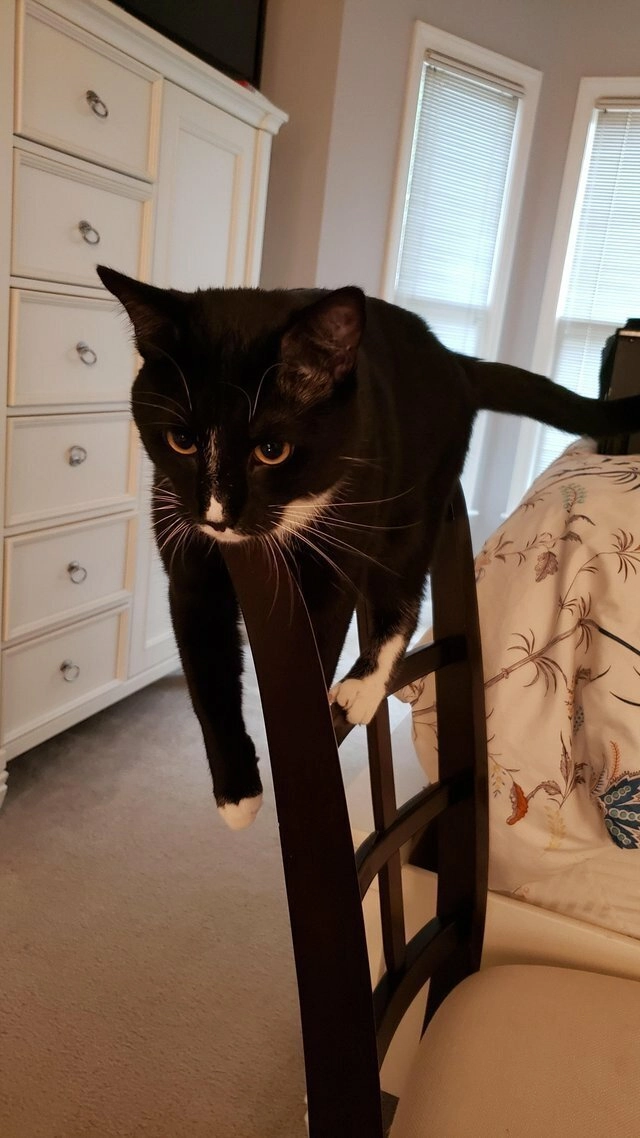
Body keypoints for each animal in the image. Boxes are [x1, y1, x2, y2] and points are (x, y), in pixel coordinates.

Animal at [97, 265, 640, 829]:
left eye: (272, 450)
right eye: (181, 441)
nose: (217, 516)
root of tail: (455, 362)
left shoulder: (335, 557)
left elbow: (313, 652)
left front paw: (303, 758)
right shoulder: (189, 566)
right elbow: (208, 680)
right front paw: (237, 795)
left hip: (416, 499)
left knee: (404, 589)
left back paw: (361, 687)